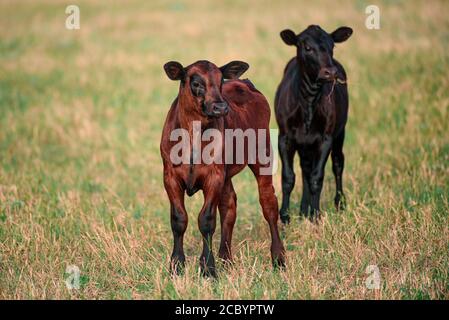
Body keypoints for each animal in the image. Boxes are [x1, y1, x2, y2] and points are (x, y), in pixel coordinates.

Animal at [161, 60, 286, 278]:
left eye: (221, 81)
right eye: (196, 83)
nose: (220, 107)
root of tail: (245, 82)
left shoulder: (214, 176)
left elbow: (206, 220)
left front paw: (208, 268)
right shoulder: (170, 176)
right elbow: (178, 219)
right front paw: (176, 265)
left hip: (262, 154)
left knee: (268, 203)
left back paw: (278, 258)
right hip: (227, 175)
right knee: (229, 206)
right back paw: (226, 259)